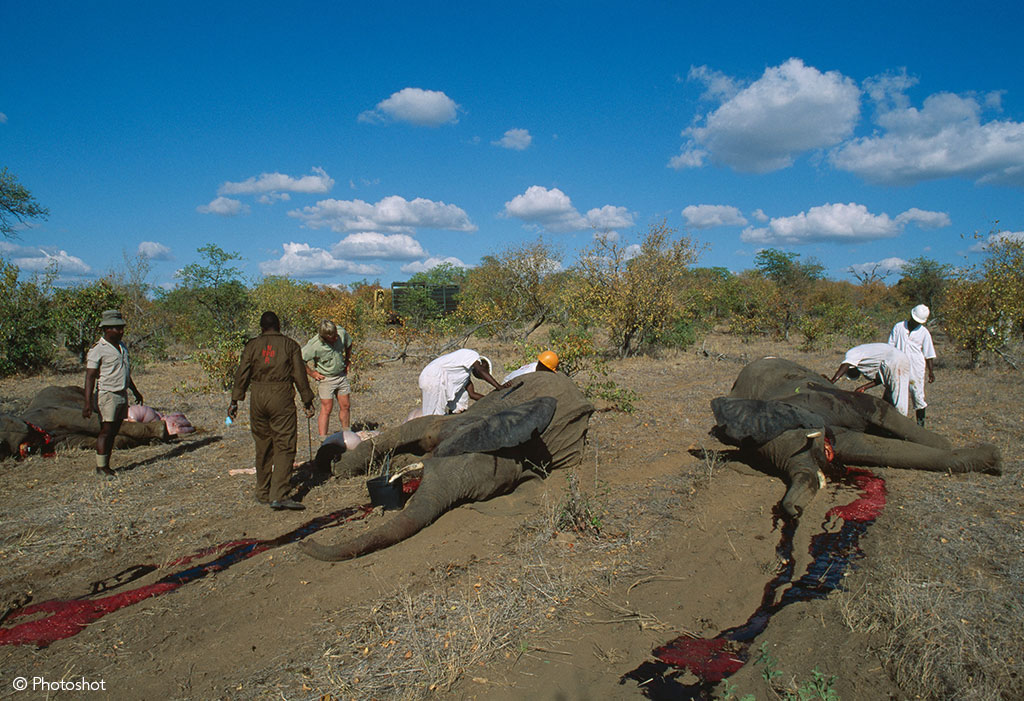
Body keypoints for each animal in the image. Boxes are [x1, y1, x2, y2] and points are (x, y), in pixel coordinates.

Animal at [710, 357, 1001, 518]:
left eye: (803, 441)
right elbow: (874, 449)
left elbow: (882, 411)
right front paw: (992, 460)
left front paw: (984, 456)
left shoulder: (833, 401)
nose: (795, 511)